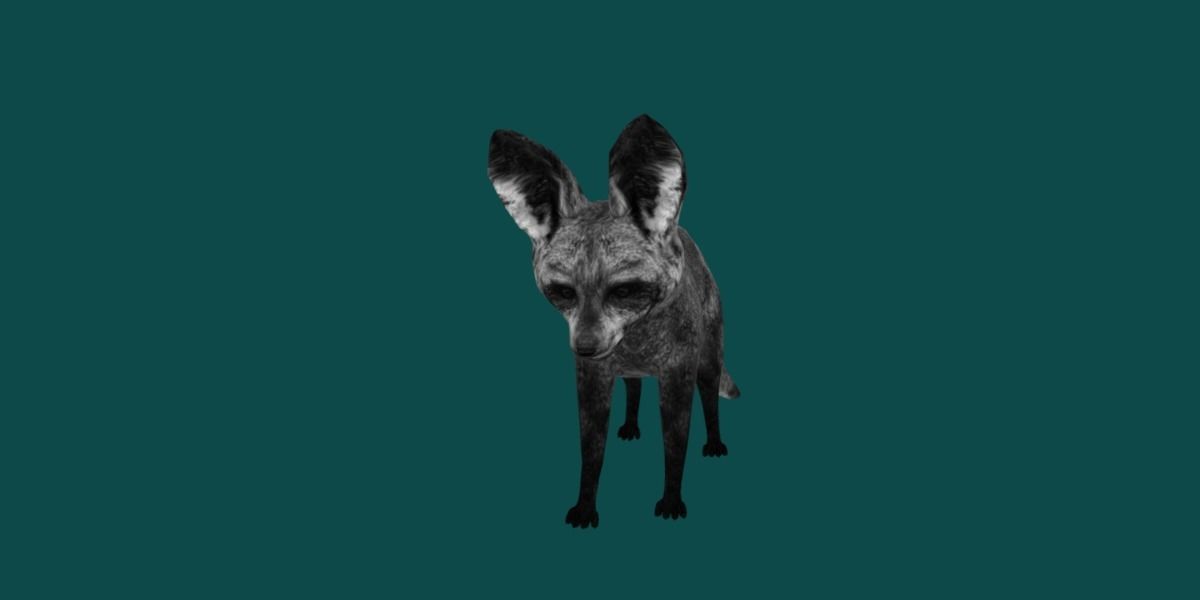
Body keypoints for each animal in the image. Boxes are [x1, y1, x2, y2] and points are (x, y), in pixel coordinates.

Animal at [486, 114, 740, 529]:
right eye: (564, 292)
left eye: (623, 290)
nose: (585, 347)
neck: (634, 336)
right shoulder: (592, 374)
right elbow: (591, 445)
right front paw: (586, 500)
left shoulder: (678, 367)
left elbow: (676, 438)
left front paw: (672, 495)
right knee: (633, 387)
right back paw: (631, 420)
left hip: (709, 341)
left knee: (708, 389)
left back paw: (714, 437)